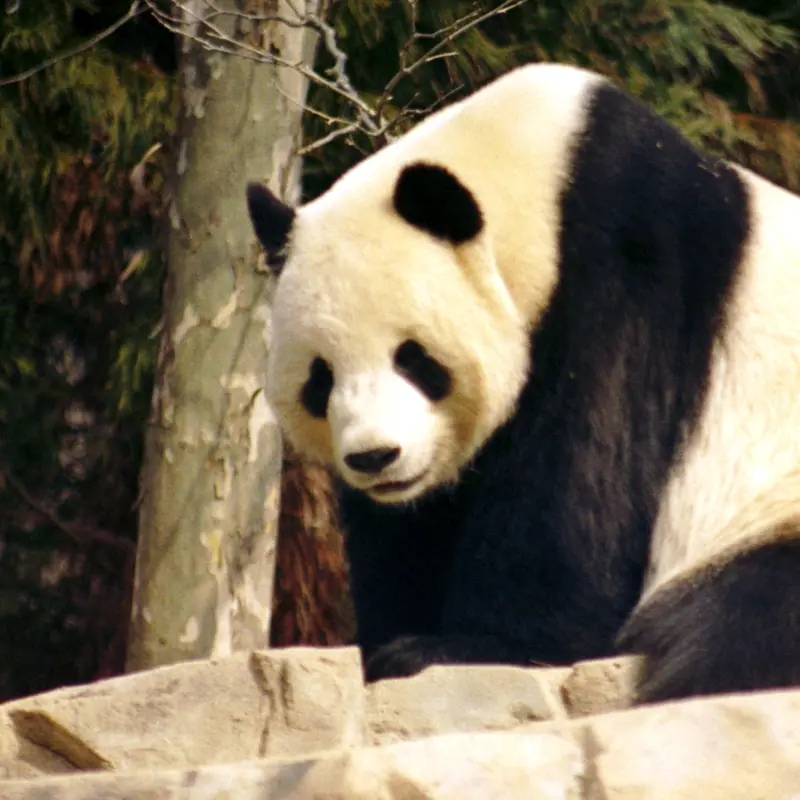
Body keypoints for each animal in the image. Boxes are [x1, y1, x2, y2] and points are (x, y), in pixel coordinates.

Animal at [246, 62, 800, 704]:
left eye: (413, 359)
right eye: (321, 378)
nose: (376, 457)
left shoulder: (626, 278)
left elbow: (581, 474)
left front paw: (464, 648)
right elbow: (409, 530)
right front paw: (393, 640)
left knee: (743, 623)